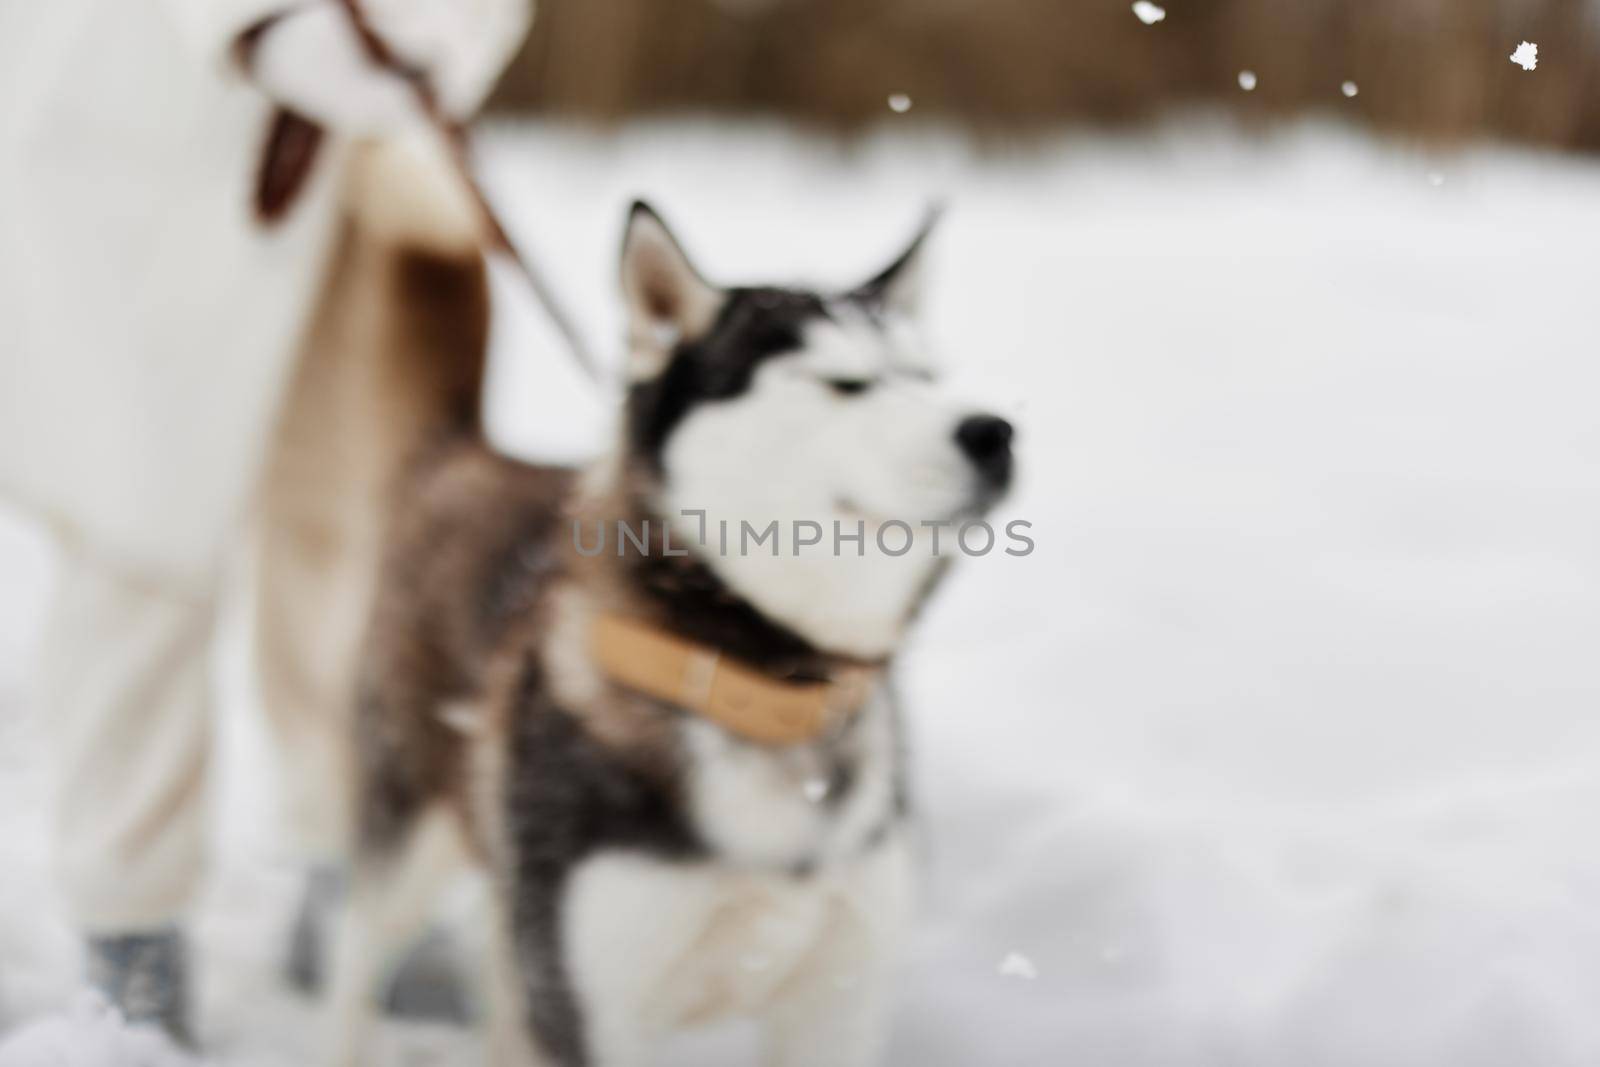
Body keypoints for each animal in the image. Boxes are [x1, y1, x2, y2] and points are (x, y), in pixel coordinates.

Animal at [331, 202, 1017, 1067]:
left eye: (926, 377)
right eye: (843, 383)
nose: (994, 432)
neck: (760, 687)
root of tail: (467, 453)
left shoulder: (838, 1000)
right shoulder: (591, 1005)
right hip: (408, 831)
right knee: (356, 964)